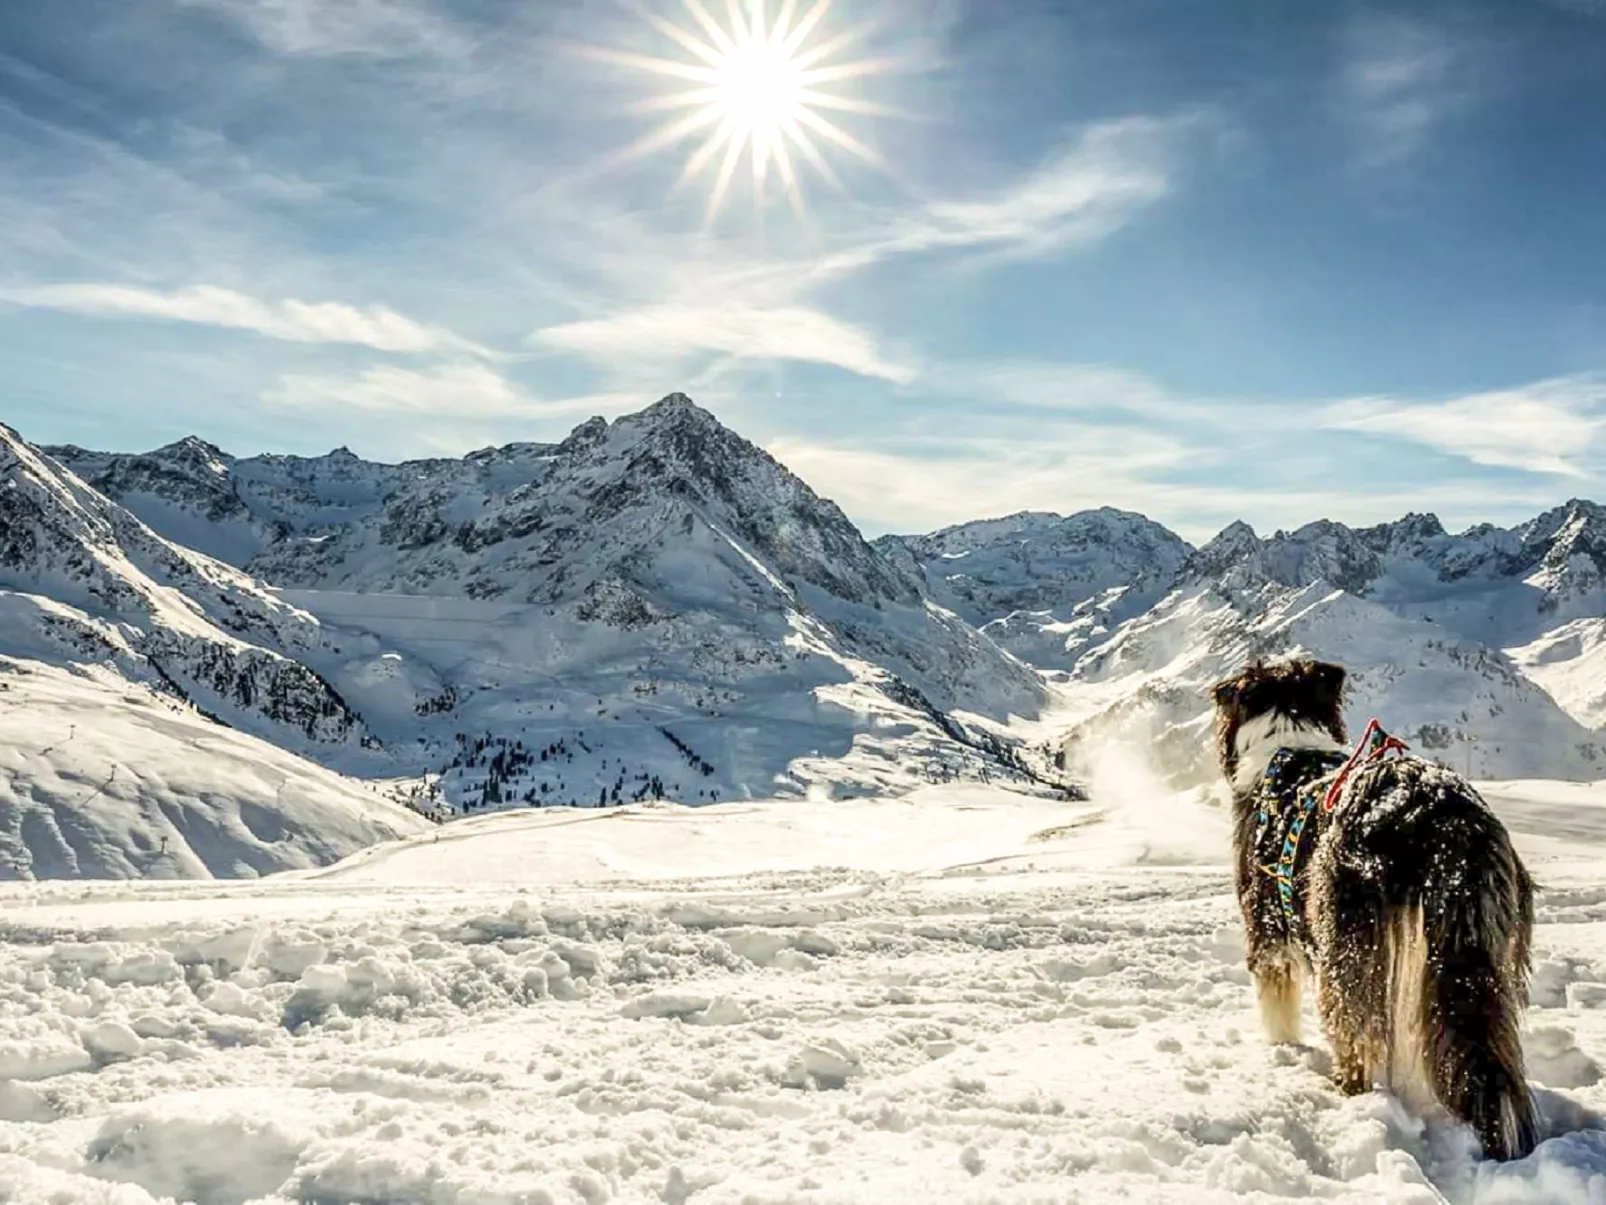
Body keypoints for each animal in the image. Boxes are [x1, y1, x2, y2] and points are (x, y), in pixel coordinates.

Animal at [1207, 655, 1535, 1163]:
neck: (1286, 734)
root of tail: (1437, 810)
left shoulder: (1266, 930)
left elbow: (1276, 1003)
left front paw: (1283, 1050)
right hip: (1488, 932)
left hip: (1347, 938)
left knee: (1355, 1029)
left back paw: (1348, 1091)